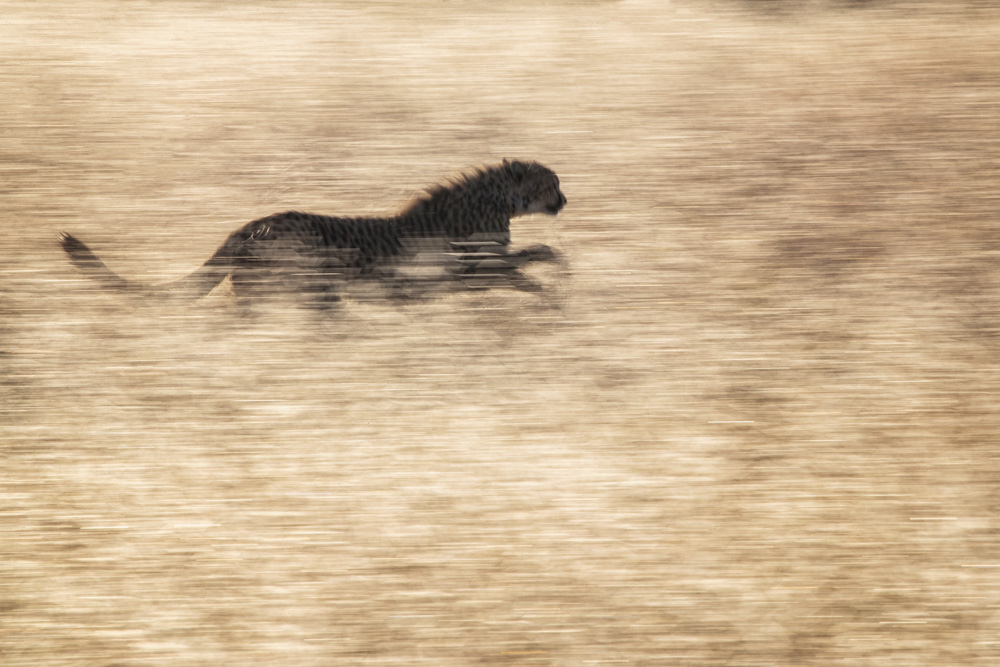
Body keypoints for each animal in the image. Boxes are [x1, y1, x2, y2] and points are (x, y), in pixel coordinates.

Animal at [58, 160, 568, 304]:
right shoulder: (474, 270)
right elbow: (530, 258)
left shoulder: (473, 274)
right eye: (552, 183)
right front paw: (555, 286)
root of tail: (247, 226)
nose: (565, 201)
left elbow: (524, 263)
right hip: (307, 287)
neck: (497, 202)